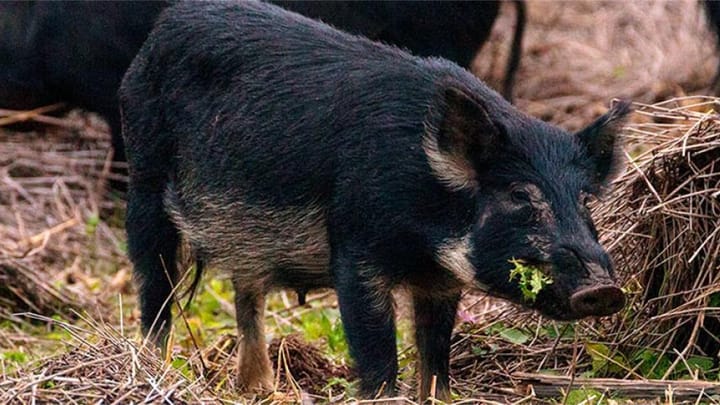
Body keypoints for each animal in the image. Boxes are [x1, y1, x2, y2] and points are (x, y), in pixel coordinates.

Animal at [120, 1, 628, 401]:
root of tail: (163, 26)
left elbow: (436, 355)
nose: (603, 288)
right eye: (520, 194)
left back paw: (260, 389)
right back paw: (153, 369)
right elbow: (376, 350)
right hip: (144, 179)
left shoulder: (441, 281)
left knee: (248, 291)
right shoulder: (355, 247)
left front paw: (438, 397)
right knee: (155, 289)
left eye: (586, 199)